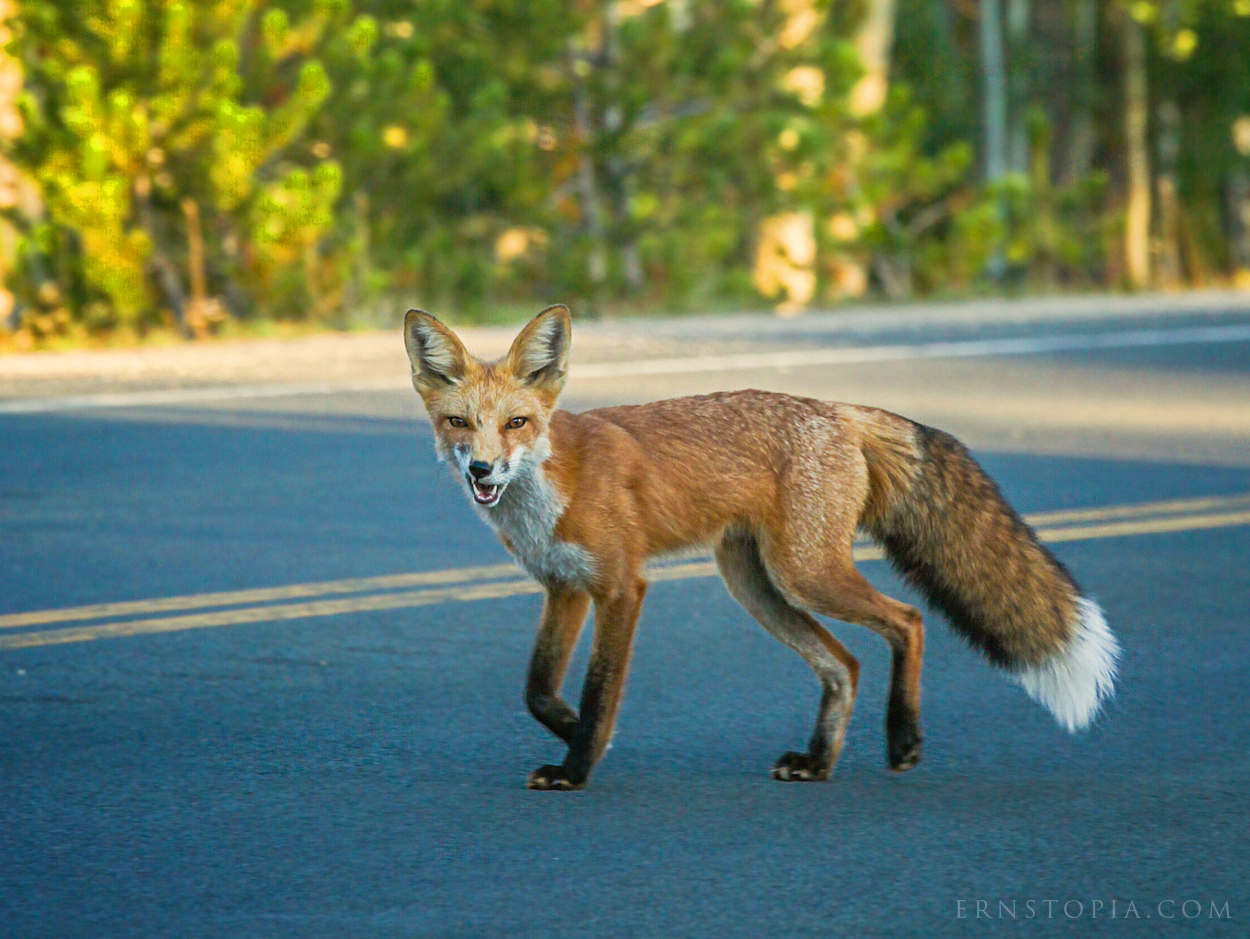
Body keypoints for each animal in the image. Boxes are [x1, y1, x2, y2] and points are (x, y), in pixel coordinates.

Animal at [402, 305, 1125, 790]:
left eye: (516, 423)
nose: (482, 471)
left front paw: (580, 761)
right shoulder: (564, 587)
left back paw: (902, 737)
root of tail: (838, 408)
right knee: (844, 663)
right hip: (757, 587)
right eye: (459, 422)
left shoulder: (620, 586)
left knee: (908, 620)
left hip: (804, 573)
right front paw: (579, 733)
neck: (554, 482)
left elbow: (600, 686)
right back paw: (819, 761)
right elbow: (538, 689)